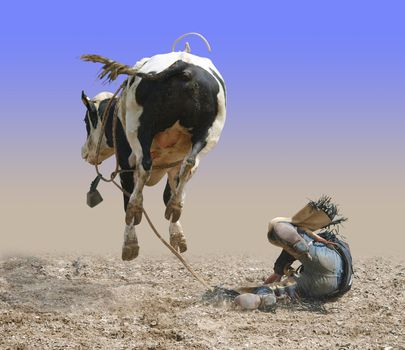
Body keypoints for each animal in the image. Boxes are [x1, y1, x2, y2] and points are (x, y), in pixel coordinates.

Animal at [79, 40, 224, 260]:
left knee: (143, 168)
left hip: (140, 132)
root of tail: (184, 65)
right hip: (207, 133)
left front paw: (130, 242)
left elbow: (128, 193)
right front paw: (177, 235)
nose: (84, 152)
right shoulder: (173, 166)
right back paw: (174, 206)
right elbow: (170, 193)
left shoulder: (125, 163)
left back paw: (134, 216)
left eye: (86, 121)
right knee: (189, 164)